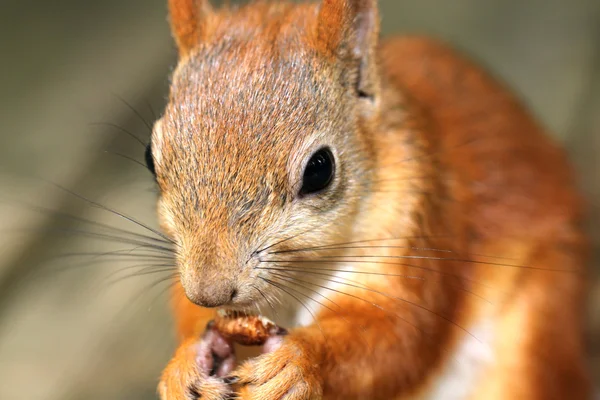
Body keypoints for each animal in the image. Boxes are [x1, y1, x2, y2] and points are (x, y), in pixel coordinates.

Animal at [150, 0, 592, 400]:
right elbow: (191, 319)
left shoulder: (420, 235)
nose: (209, 292)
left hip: (534, 337)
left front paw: (300, 360)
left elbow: (398, 340)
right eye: (150, 158)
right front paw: (185, 363)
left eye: (319, 170)